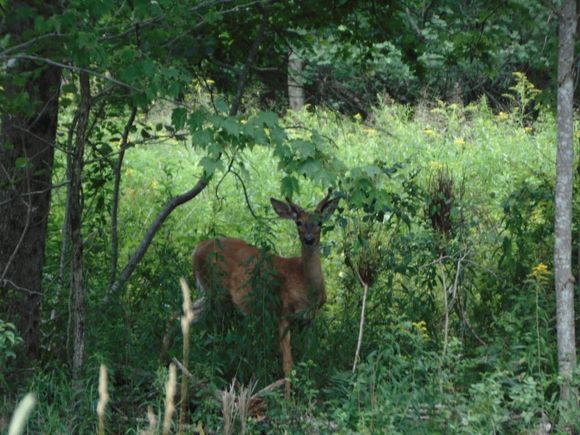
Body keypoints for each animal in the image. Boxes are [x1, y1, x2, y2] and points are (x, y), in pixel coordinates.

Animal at [192, 190, 340, 397]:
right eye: (298, 222)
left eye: (319, 222)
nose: (309, 239)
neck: (304, 283)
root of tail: (196, 249)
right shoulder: (282, 314)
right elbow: (288, 364)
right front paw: (288, 400)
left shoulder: (309, 319)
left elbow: (309, 357)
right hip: (215, 291)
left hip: (209, 294)